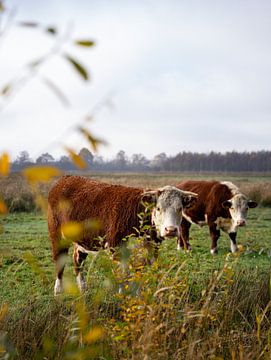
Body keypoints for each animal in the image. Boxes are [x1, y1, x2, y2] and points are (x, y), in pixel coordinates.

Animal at [48, 175, 198, 296]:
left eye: (180, 209)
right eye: (159, 208)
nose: (170, 230)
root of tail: (65, 179)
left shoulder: (151, 248)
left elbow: (140, 273)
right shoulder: (116, 247)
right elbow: (123, 273)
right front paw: (122, 295)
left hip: (82, 240)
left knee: (78, 261)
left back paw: (83, 289)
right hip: (57, 236)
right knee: (59, 261)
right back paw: (58, 291)